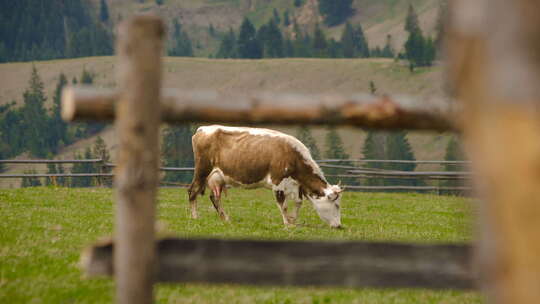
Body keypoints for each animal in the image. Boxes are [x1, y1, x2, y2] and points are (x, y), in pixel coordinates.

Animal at [188, 124, 344, 228]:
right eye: (336, 205)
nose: (339, 226)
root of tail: (203, 128)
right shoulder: (278, 182)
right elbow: (283, 205)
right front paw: (287, 224)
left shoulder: (296, 185)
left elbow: (298, 202)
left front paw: (293, 220)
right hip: (202, 170)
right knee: (192, 191)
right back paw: (195, 217)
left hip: (218, 177)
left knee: (214, 197)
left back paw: (225, 218)